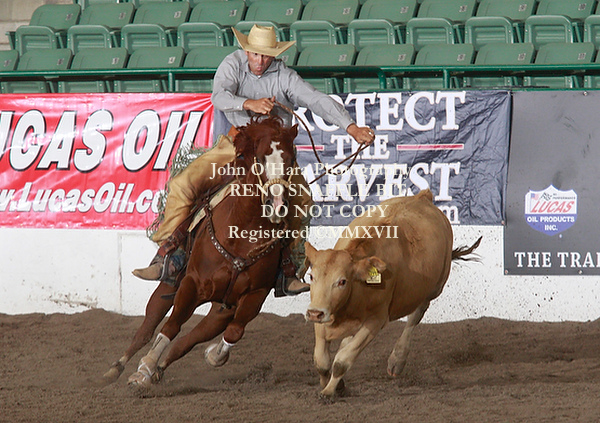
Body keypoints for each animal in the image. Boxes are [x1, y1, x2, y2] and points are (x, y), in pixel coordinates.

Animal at [102, 116, 300, 387]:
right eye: (259, 159)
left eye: (291, 159)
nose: (277, 205)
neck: (242, 234)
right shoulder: (192, 284)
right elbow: (172, 325)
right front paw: (144, 369)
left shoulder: (255, 295)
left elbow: (234, 331)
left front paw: (213, 356)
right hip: (170, 283)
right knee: (147, 327)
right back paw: (117, 368)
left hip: (221, 309)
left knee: (192, 338)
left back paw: (161, 368)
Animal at [304, 189, 481, 397]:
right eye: (311, 276)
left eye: (342, 281)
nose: (314, 313)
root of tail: (423, 196)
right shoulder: (322, 311)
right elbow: (322, 362)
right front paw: (333, 385)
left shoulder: (376, 320)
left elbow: (342, 361)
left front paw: (329, 391)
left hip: (434, 288)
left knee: (416, 315)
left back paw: (397, 359)